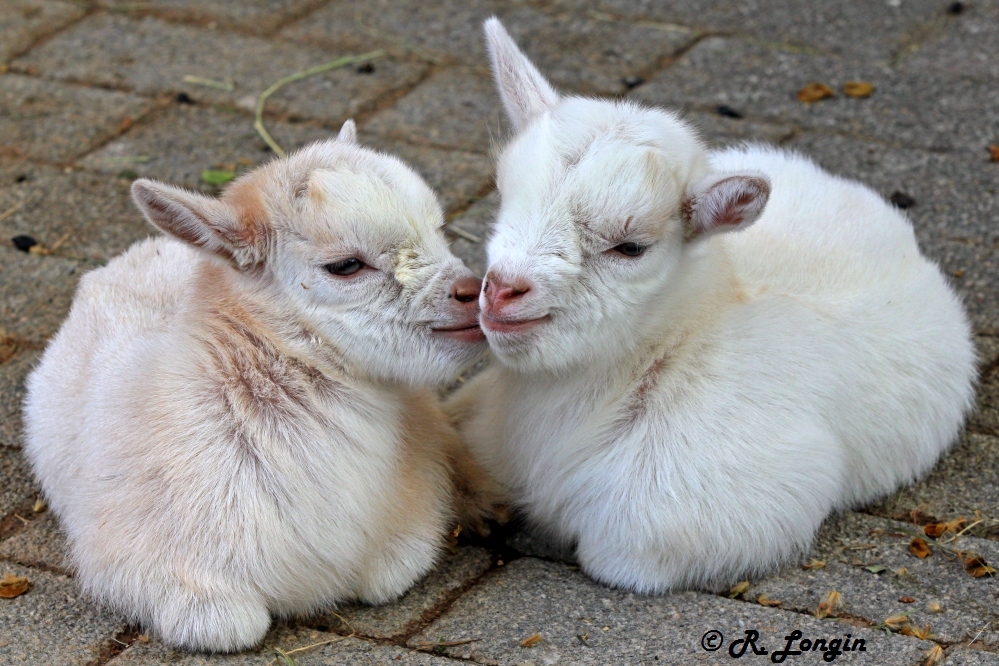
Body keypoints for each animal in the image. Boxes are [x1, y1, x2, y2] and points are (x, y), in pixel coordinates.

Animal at [25, 123, 500, 648]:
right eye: (346, 265)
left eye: (438, 228)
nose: (472, 292)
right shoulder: (137, 565)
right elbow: (235, 625)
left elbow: (388, 574)